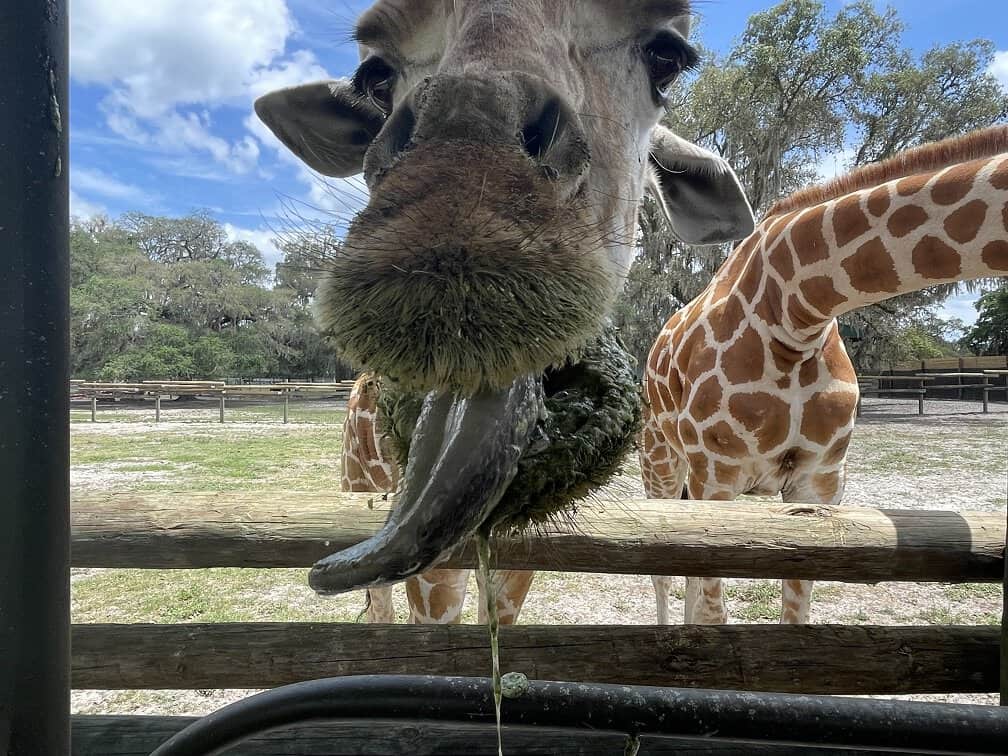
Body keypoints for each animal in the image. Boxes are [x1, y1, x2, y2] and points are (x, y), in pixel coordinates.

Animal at [641, 126, 1008, 626]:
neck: (795, 316)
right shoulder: (715, 478)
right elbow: (711, 609)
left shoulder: (820, 484)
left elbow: (792, 615)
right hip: (660, 459)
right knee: (665, 571)